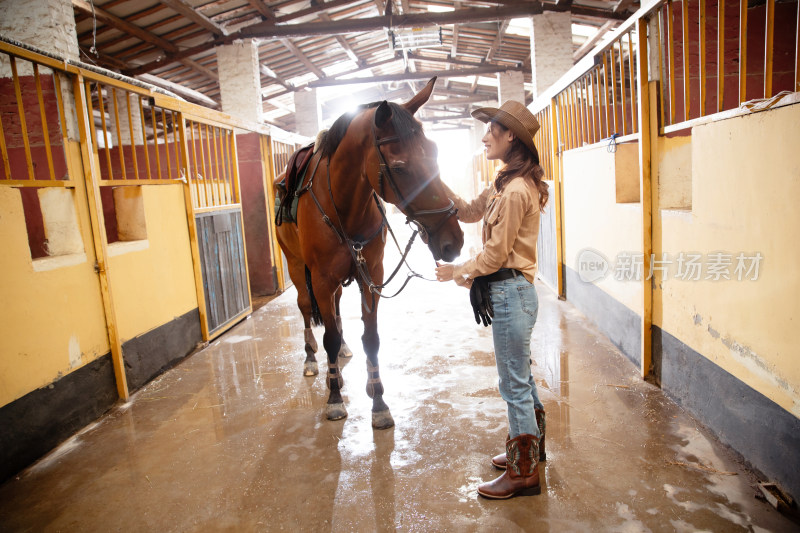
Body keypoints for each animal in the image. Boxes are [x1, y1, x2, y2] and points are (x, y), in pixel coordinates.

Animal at [276, 78, 462, 428]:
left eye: (435, 152)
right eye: (400, 168)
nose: (453, 241)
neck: (344, 206)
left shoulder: (371, 274)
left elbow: (371, 338)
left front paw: (378, 400)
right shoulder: (321, 278)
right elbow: (328, 338)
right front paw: (335, 399)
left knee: (335, 313)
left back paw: (343, 354)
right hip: (297, 267)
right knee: (307, 309)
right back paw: (311, 360)